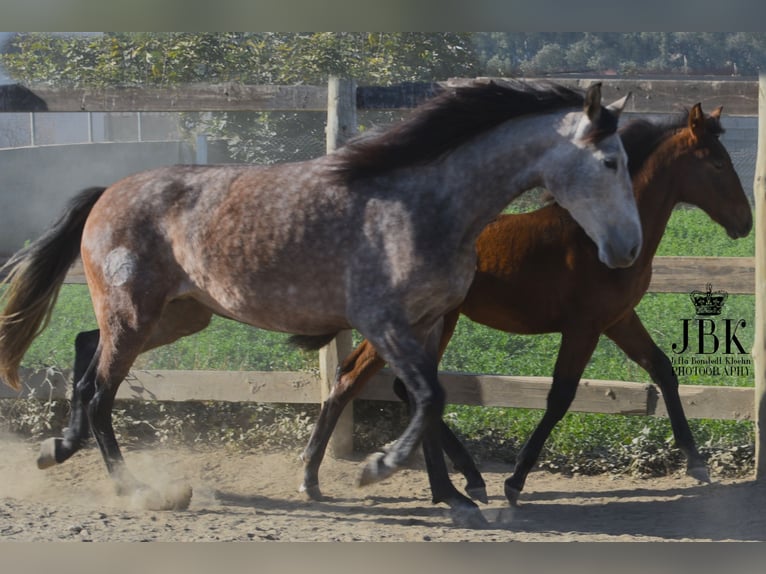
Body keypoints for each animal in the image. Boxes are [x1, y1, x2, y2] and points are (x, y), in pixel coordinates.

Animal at [0, 81, 640, 532]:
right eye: (610, 162)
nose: (627, 249)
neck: (423, 206)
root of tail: (106, 194)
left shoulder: (429, 322)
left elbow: (430, 402)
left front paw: (453, 498)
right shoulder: (384, 322)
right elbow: (427, 398)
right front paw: (379, 468)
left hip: (177, 314)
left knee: (87, 353)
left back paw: (57, 449)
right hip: (137, 315)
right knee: (101, 393)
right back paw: (136, 489)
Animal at [302, 103, 756, 508]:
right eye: (717, 163)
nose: (746, 221)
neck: (599, 238)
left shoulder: (619, 320)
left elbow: (663, 369)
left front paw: (697, 462)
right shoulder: (583, 327)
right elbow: (560, 397)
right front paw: (516, 480)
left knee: (391, 384)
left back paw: (457, 480)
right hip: (426, 321)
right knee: (362, 379)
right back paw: (315, 477)